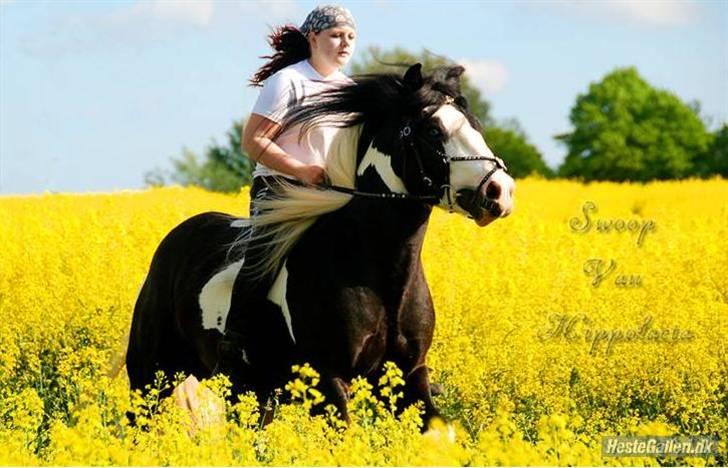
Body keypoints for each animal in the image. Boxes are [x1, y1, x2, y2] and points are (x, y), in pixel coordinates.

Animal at [126, 64, 512, 426]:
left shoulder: (409, 374)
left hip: (249, 390)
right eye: (433, 131)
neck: (376, 269)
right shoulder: (328, 379)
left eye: (476, 126)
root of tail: (177, 236)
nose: (500, 192)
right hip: (150, 374)